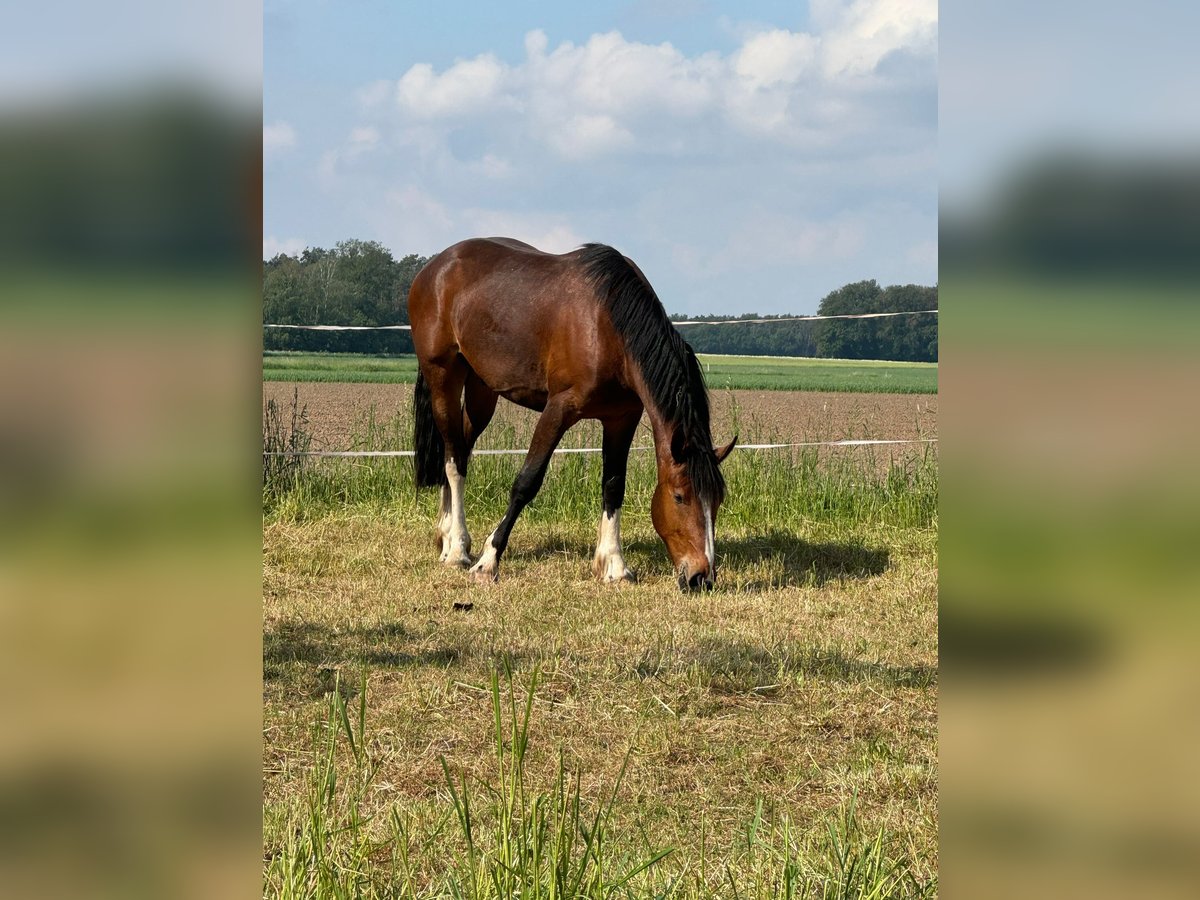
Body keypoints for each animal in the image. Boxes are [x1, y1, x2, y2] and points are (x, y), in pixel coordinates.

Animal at [408, 237, 734, 592]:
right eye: (679, 497)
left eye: (717, 500)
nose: (701, 577)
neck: (608, 325)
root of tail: (435, 266)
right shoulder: (558, 409)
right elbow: (526, 482)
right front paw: (489, 561)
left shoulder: (622, 418)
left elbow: (613, 486)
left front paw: (614, 565)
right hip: (443, 378)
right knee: (454, 459)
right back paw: (457, 550)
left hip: (482, 390)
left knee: (459, 449)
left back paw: (448, 537)